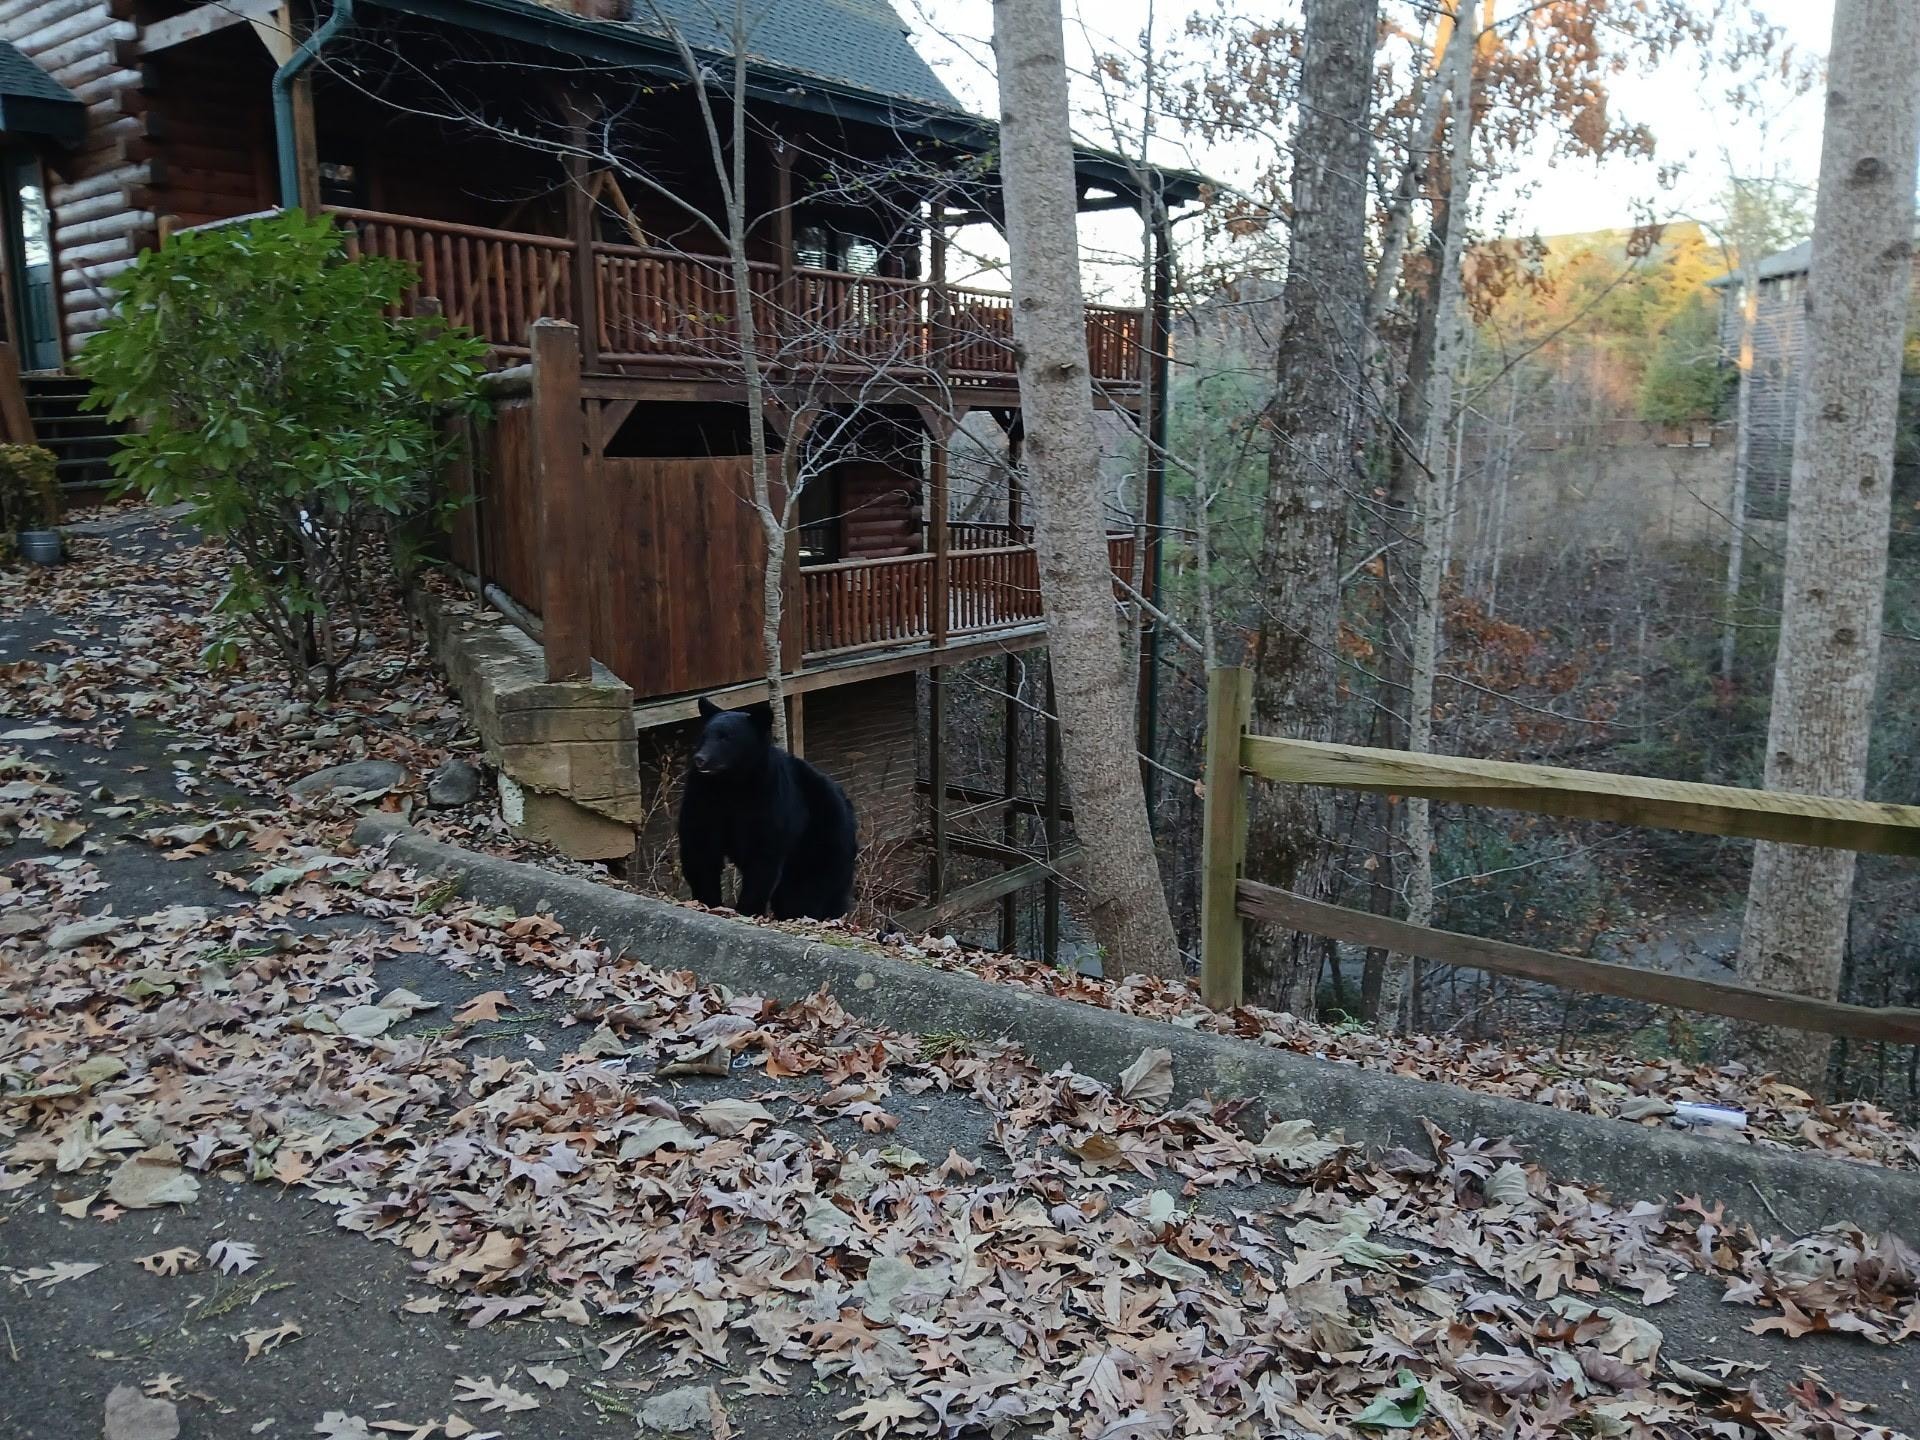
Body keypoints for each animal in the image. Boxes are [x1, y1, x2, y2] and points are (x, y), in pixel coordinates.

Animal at [677, 697, 858, 921]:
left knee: (810, 889)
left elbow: (763, 854)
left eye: (726, 738)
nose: (701, 759)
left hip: (824, 839)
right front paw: (707, 902)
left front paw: (747, 909)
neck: (731, 783)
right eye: (704, 735)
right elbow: (700, 845)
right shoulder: (702, 796)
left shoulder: (768, 797)